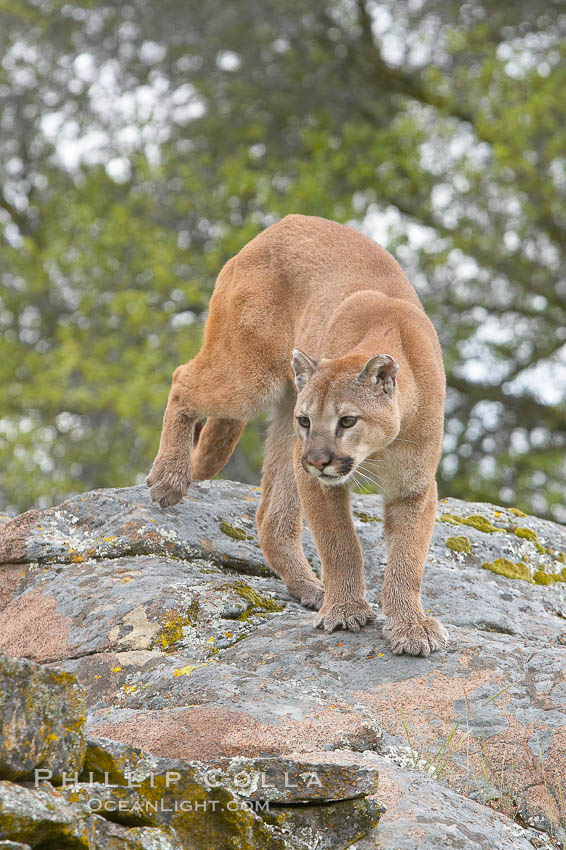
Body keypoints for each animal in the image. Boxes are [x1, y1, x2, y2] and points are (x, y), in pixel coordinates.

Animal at [149, 212, 450, 656]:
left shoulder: (413, 487)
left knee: (270, 517)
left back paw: (310, 588)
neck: (377, 449)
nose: (318, 459)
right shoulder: (317, 480)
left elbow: (408, 559)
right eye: (307, 421)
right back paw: (169, 478)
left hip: (283, 421)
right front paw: (345, 611)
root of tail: (278, 225)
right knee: (182, 378)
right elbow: (340, 543)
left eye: (347, 421)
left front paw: (411, 625)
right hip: (250, 377)